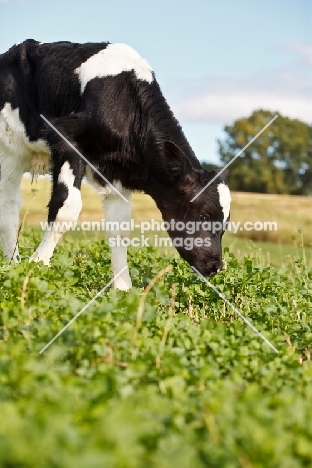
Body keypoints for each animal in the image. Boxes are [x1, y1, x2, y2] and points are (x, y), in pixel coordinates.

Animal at [0, 40, 229, 288]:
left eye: (225, 224)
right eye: (204, 216)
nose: (216, 266)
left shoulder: (119, 175)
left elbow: (119, 228)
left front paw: (124, 289)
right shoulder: (66, 140)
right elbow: (66, 208)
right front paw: (36, 267)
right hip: (10, 149)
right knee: (9, 206)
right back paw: (15, 266)